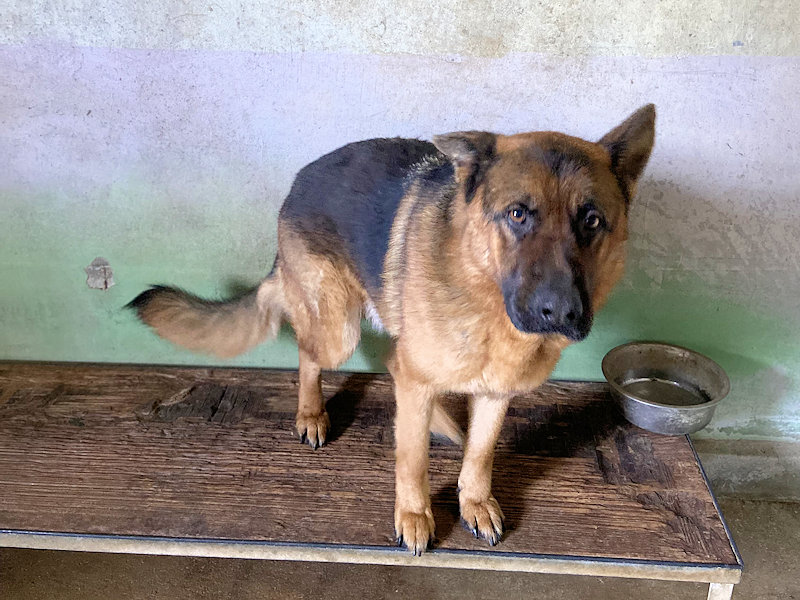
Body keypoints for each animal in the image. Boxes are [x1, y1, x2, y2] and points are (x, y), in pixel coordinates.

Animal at [129, 105, 655, 555]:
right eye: (517, 214)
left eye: (592, 220)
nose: (560, 312)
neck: (482, 294)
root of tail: (299, 180)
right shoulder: (420, 385)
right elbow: (412, 457)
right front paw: (414, 515)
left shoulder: (496, 394)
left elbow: (481, 452)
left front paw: (474, 500)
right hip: (337, 328)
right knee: (311, 352)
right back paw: (312, 412)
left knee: (392, 364)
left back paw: (440, 419)